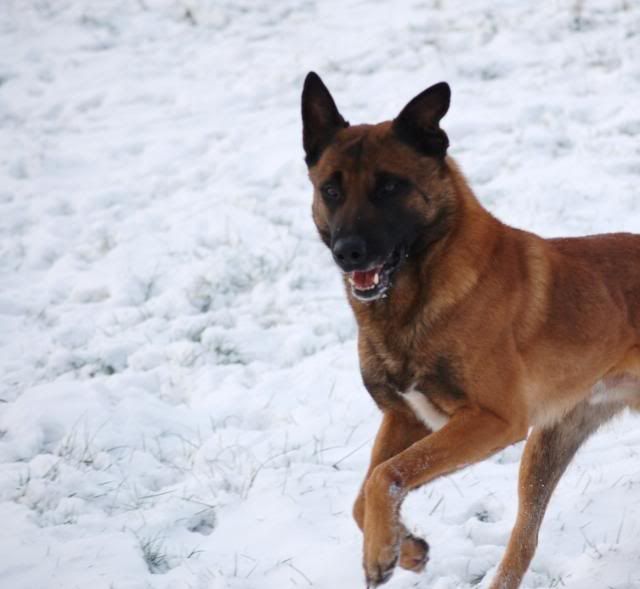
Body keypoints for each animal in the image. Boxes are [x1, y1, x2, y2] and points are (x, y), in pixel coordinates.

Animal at [300, 73, 640, 588]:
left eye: (390, 186)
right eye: (331, 190)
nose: (348, 252)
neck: (420, 294)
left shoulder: (491, 420)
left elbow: (386, 476)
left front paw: (382, 552)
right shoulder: (405, 418)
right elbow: (365, 496)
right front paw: (404, 547)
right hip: (546, 448)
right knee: (524, 539)